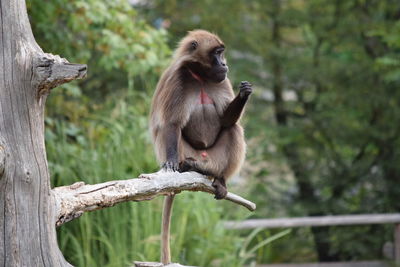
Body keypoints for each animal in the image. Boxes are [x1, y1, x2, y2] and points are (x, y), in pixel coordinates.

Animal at [148, 29, 252, 264]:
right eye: (217, 53)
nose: (224, 64)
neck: (200, 77)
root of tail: (204, 159)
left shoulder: (222, 81)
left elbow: (226, 121)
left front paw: (244, 93)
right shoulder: (177, 79)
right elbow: (171, 124)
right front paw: (170, 163)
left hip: (215, 158)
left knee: (233, 128)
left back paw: (219, 179)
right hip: (187, 151)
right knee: (174, 131)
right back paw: (186, 166)